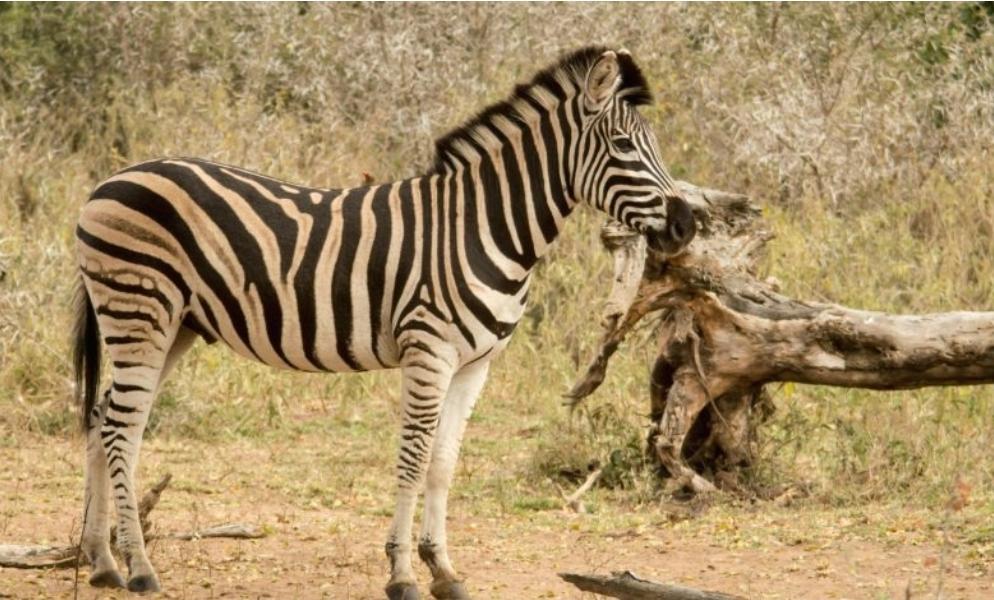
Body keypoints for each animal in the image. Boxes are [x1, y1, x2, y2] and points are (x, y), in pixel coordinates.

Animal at [72, 46, 696, 599]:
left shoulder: (475, 364)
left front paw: (443, 570)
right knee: (123, 426)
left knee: (104, 416)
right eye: (622, 145)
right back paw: (141, 568)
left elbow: (444, 464)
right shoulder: (429, 351)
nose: (688, 225)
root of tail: (111, 180)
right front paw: (402, 575)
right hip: (141, 311)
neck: (482, 228)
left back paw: (103, 563)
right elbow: (414, 459)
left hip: (172, 324)